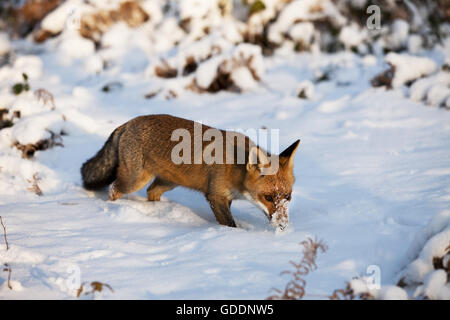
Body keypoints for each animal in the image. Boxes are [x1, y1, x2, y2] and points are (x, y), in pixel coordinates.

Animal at [81, 115, 298, 230]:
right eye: (268, 197)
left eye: (287, 197)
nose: (283, 225)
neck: (235, 167)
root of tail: (128, 122)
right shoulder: (215, 195)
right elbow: (229, 224)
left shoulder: (225, 198)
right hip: (134, 180)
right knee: (113, 189)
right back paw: (114, 210)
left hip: (169, 182)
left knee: (151, 192)